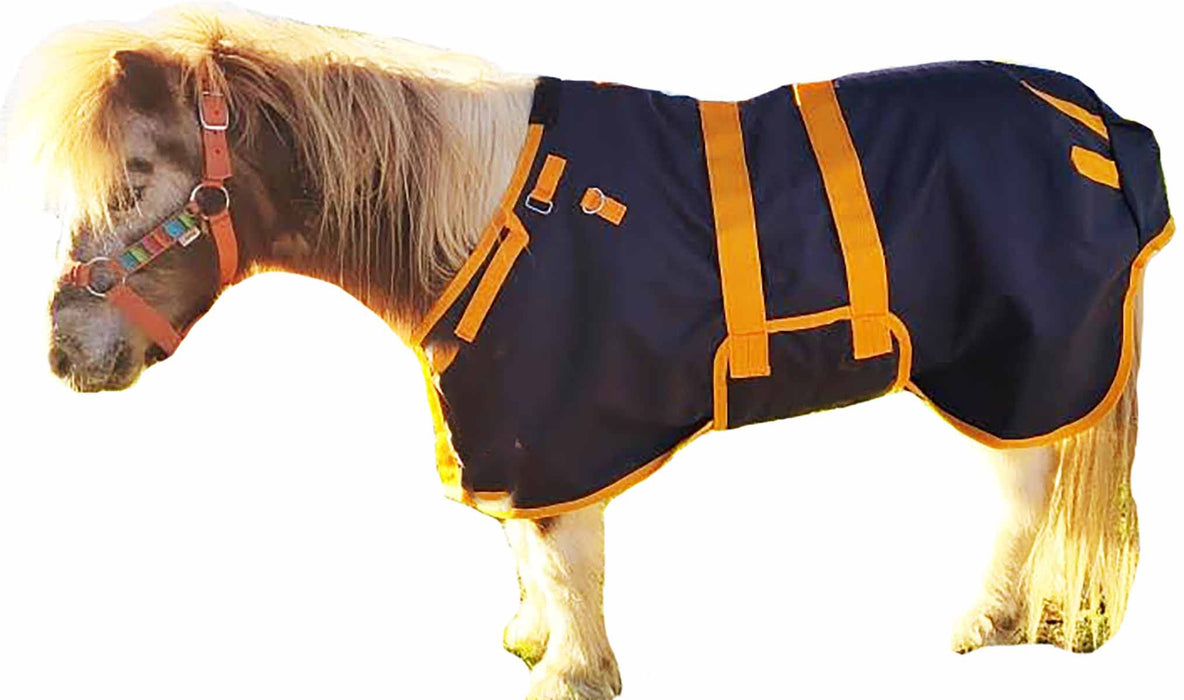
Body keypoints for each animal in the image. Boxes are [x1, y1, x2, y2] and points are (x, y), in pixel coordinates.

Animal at [9, 7, 1172, 699]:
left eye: (136, 178)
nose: (67, 352)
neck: (478, 217)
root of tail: (1094, 119)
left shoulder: (556, 428)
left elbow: (566, 561)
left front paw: (569, 671)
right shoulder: (509, 428)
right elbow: (529, 552)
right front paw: (531, 641)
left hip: (1013, 364)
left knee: (1019, 491)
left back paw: (982, 622)